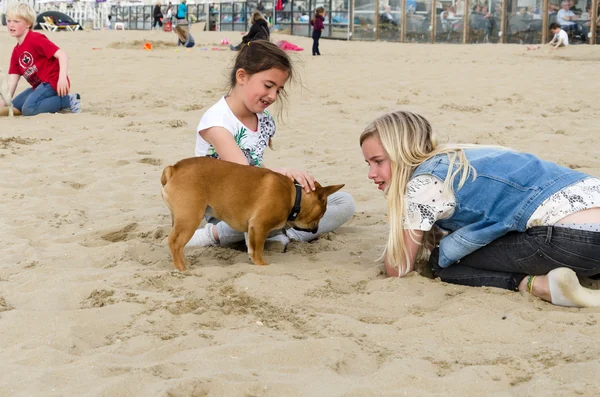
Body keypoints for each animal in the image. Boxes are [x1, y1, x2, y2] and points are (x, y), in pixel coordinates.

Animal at [162, 156, 344, 270]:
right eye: (321, 215)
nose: (316, 229)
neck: (294, 195)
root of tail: (174, 168)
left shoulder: (250, 228)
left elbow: (251, 247)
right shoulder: (259, 226)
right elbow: (258, 250)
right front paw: (263, 265)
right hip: (190, 218)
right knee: (175, 243)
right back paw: (182, 268)